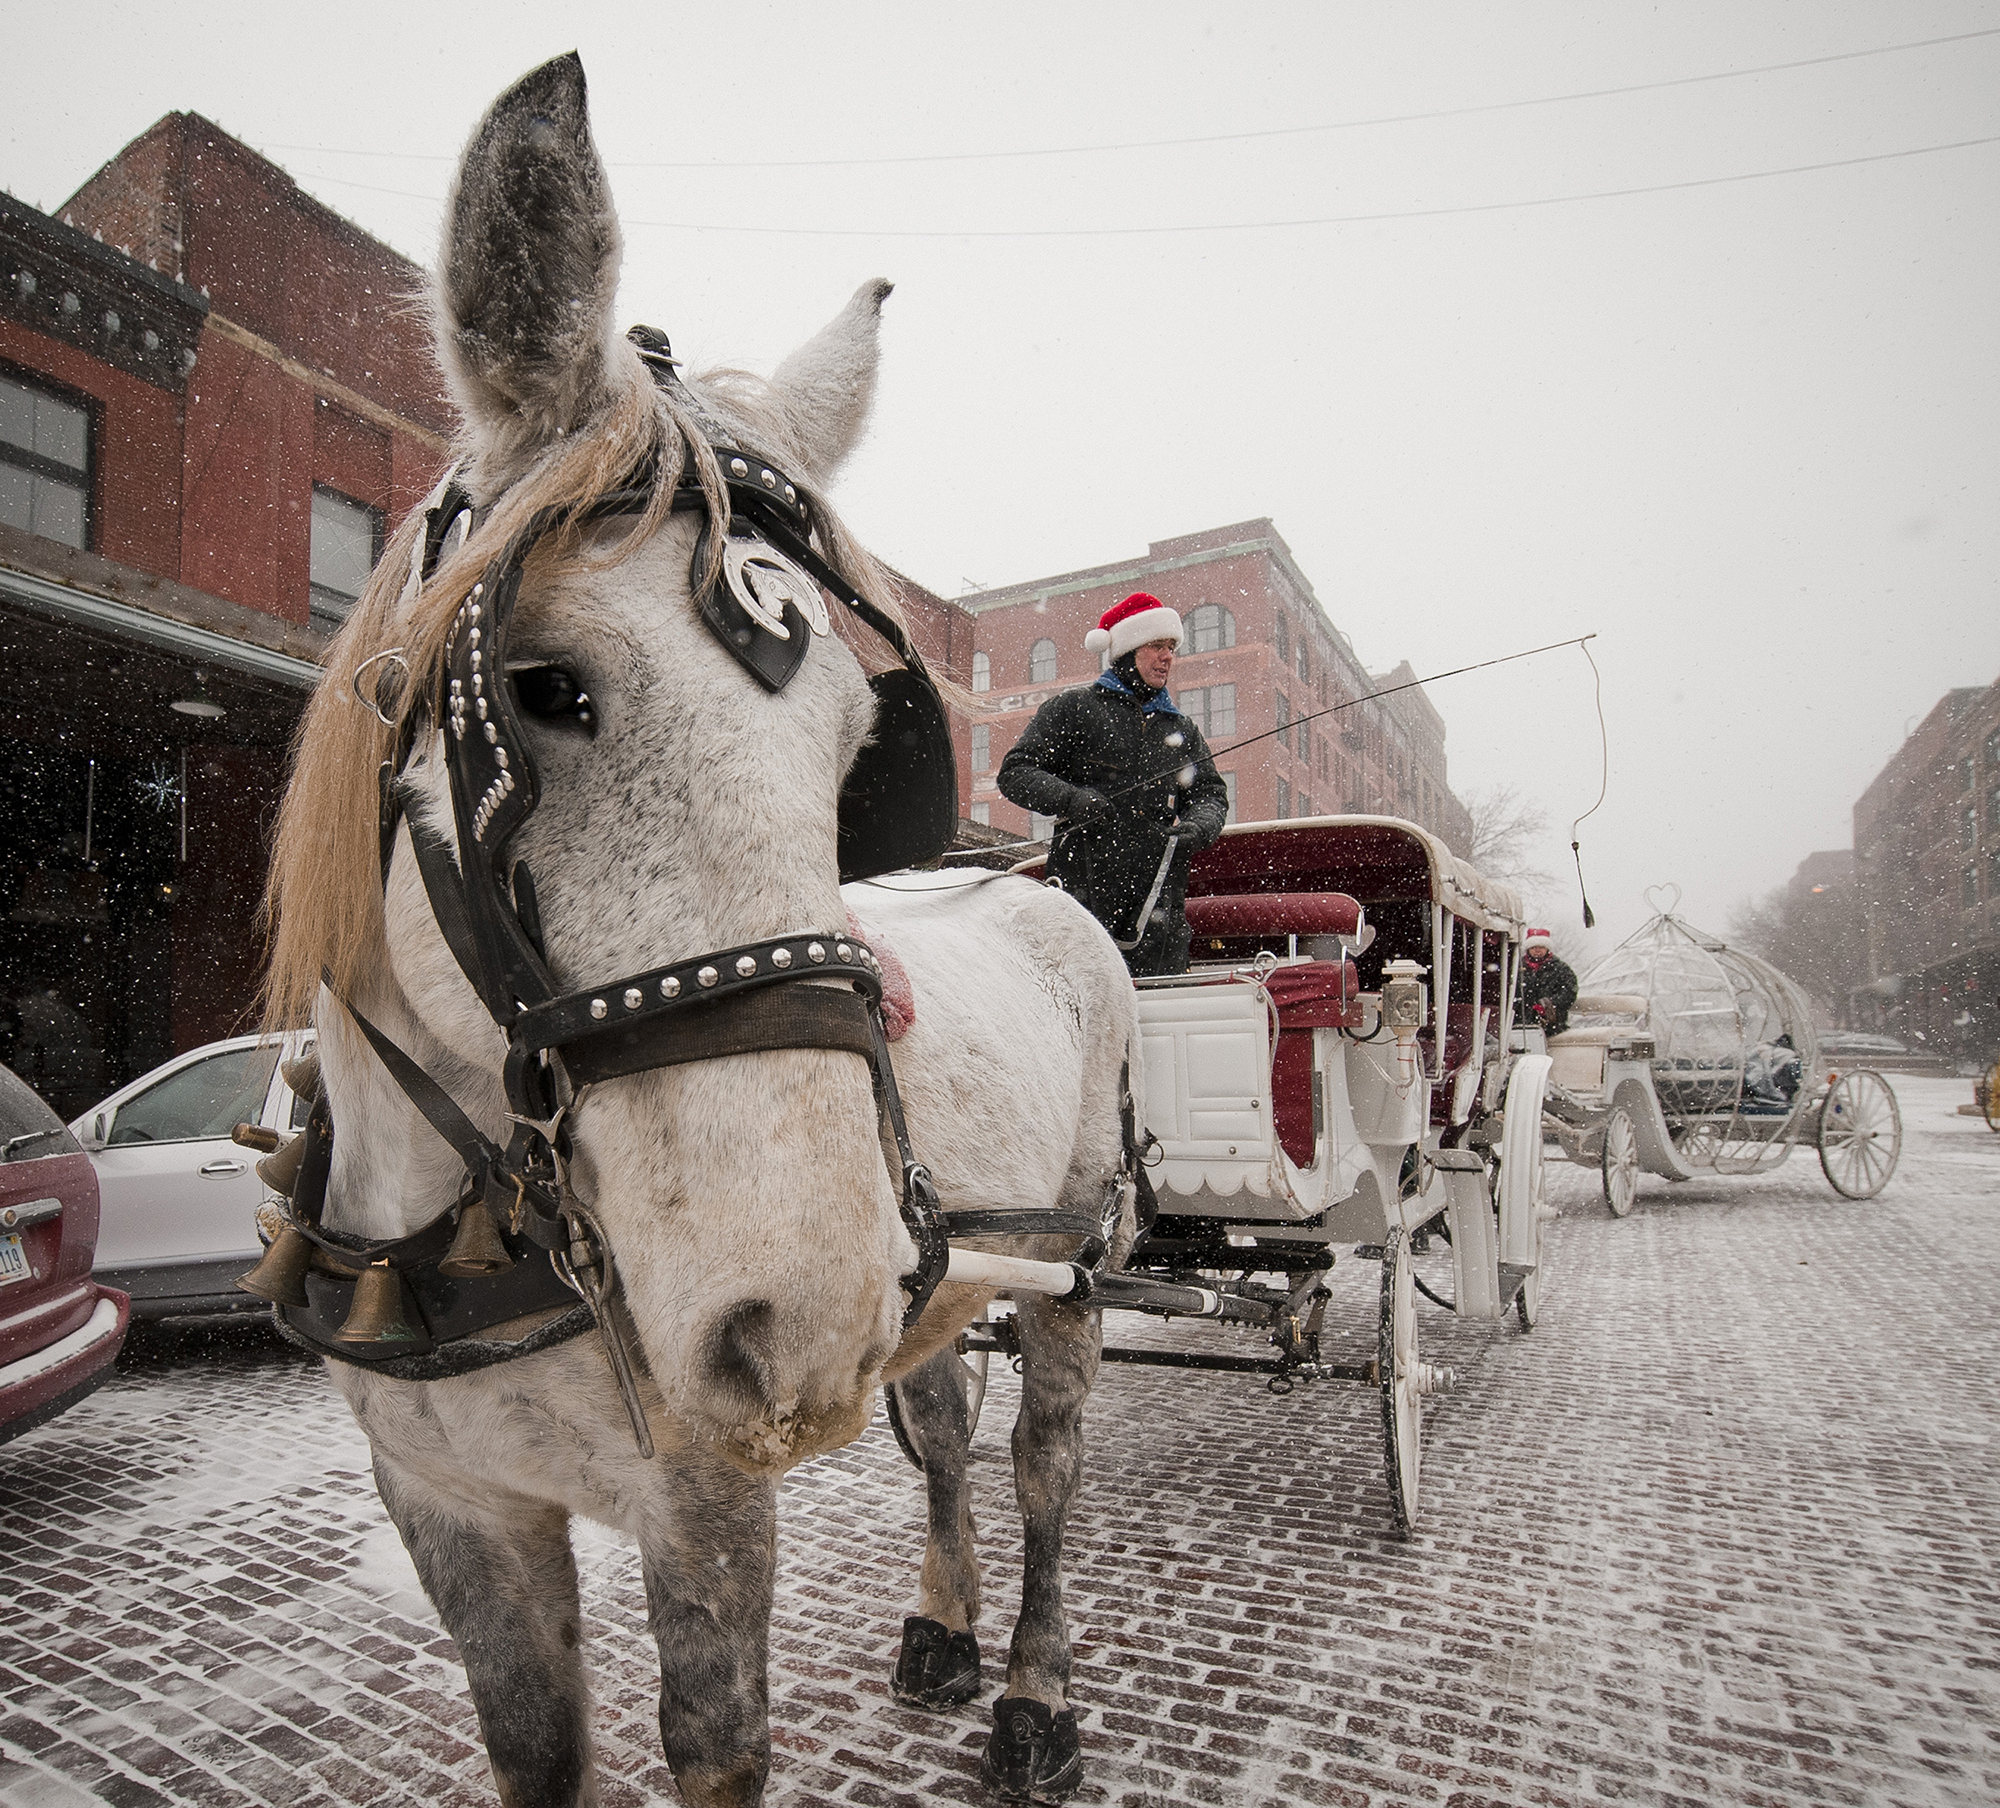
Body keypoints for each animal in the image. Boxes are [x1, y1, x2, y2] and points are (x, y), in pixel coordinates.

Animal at [262, 49, 1144, 1808]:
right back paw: (943, 1626)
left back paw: (1031, 1688)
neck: (457, 1230)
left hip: (1061, 1266)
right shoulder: (452, 1508)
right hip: (929, 1289)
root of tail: (1051, 895)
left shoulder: (703, 1500)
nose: (790, 1320)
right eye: (541, 688)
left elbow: (713, 1745)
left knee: (1041, 1467)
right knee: (946, 1432)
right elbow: (536, 1750)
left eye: (854, 745)